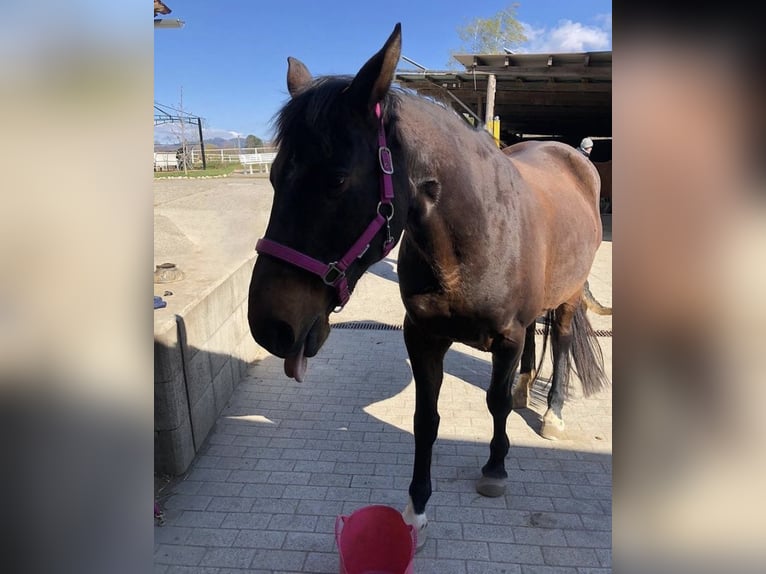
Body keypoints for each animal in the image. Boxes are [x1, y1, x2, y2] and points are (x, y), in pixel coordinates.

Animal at [247, 23, 609, 546]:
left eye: (337, 179)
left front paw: (495, 468)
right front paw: (416, 506)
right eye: (274, 176)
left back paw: (554, 412)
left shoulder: (506, 337)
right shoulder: (422, 336)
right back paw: (527, 387)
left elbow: (495, 402)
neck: (474, 237)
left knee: (559, 343)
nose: (269, 326)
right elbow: (425, 419)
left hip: (569, 296)